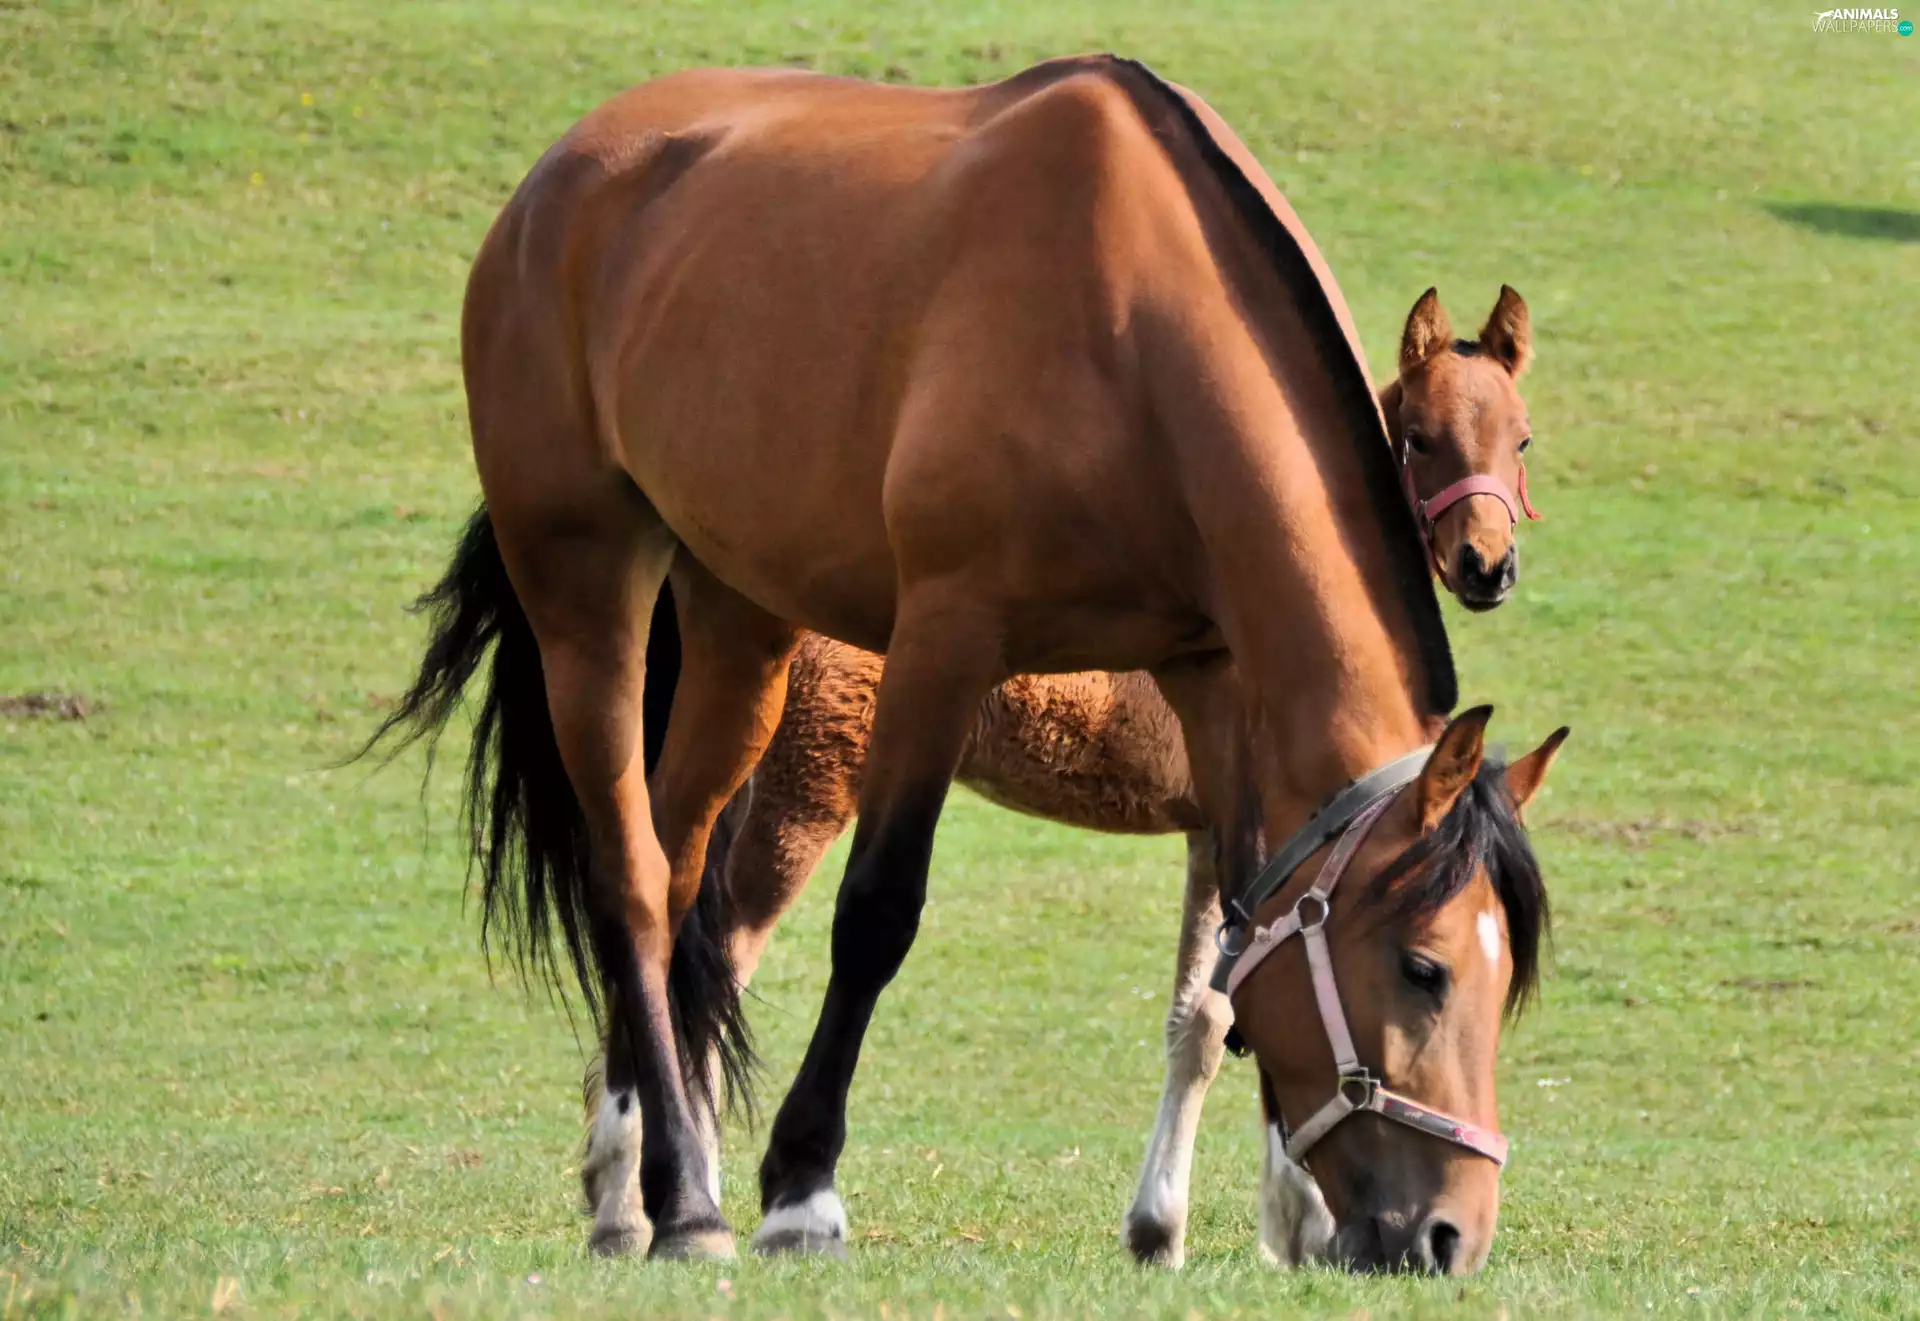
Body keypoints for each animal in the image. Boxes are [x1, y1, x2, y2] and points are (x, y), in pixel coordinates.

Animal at [614, 285, 1545, 1268]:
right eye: (1421, 437)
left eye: (1519, 437)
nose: (1488, 564)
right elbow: (1220, 1018)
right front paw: (1238, 1224)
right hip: (807, 797)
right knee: (719, 964)